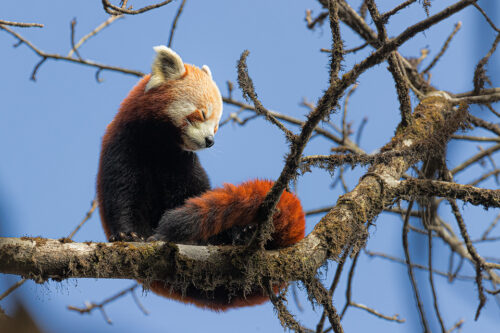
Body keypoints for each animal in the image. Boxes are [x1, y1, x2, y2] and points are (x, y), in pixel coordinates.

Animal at [95, 45, 304, 310]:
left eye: (216, 126)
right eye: (202, 114)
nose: (210, 141)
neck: (158, 146)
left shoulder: (182, 164)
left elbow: (195, 196)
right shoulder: (123, 147)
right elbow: (123, 196)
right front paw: (127, 234)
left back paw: (242, 233)